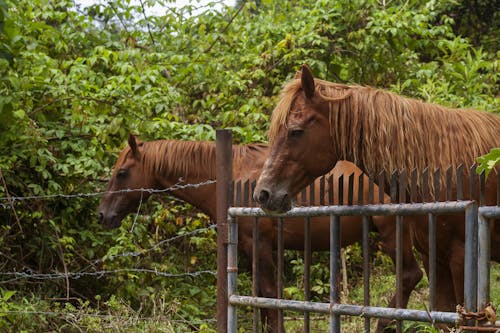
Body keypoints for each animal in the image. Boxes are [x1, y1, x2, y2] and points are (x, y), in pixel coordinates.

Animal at [98, 135, 422, 332]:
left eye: (122, 173)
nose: (103, 215)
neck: (231, 179)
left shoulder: (260, 244)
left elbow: (269, 295)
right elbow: (263, 298)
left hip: (392, 232)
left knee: (409, 275)